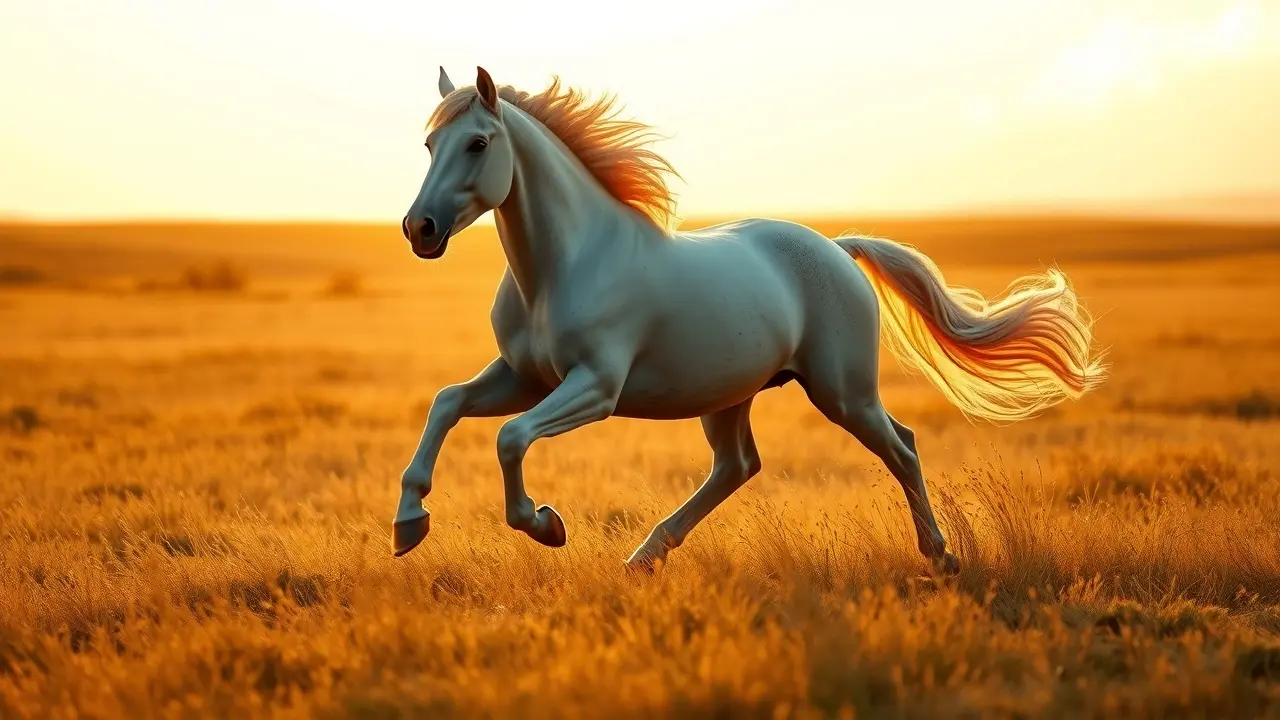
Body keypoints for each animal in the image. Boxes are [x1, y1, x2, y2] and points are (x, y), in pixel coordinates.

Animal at [392, 66, 1107, 574]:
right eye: (428, 143)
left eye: (478, 142)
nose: (418, 229)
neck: (567, 264)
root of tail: (839, 248)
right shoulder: (525, 376)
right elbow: (448, 403)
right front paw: (407, 524)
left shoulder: (594, 387)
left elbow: (510, 438)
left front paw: (545, 524)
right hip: (728, 393)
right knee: (737, 466)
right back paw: (645, 556)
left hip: (842, 392)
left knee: (899, 446)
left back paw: (941, 556)